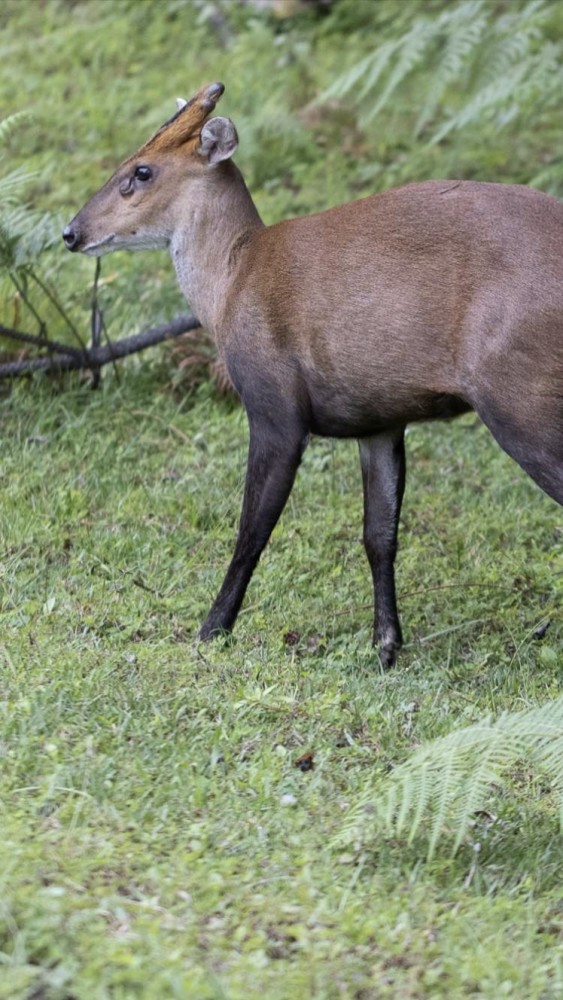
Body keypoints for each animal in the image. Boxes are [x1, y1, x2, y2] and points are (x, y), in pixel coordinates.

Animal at [65, 84, 563, 664]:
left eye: (141, 171)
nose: (71, 232)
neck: (233, 280)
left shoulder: (275, 407)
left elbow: (251, 531)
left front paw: (211, 631)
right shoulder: (379, 420)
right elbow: (378, 534)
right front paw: (386, 646)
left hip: (522, 396)